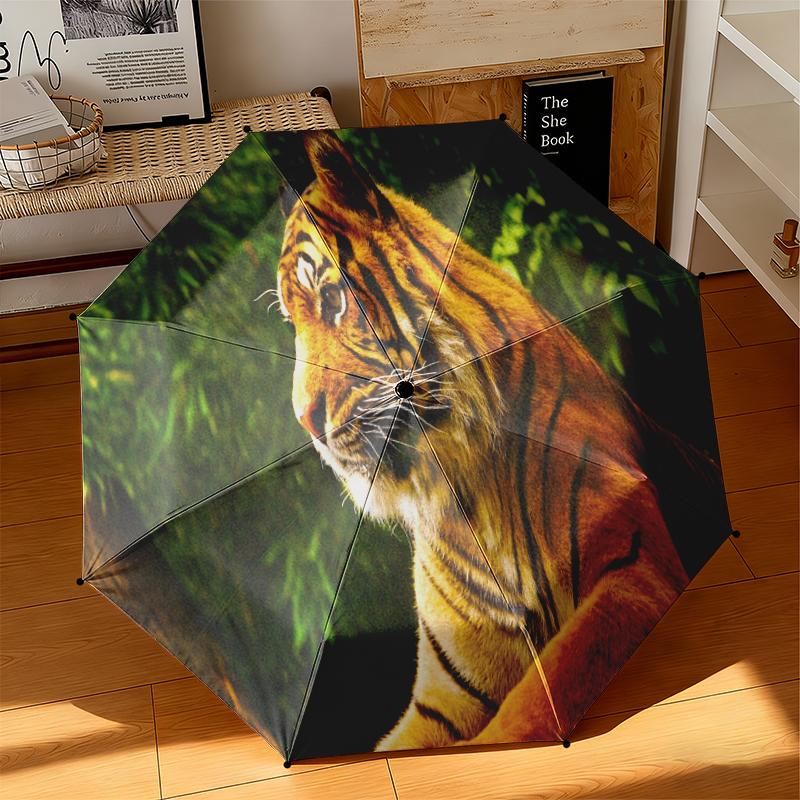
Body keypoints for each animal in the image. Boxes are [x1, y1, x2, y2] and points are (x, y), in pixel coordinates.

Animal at [270, 129, 721, 749]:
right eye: (291, 322)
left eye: (334, 302)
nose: (304, 421)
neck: (463, 491)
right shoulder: (445, 698)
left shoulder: (635, 571)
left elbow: (533, 705)